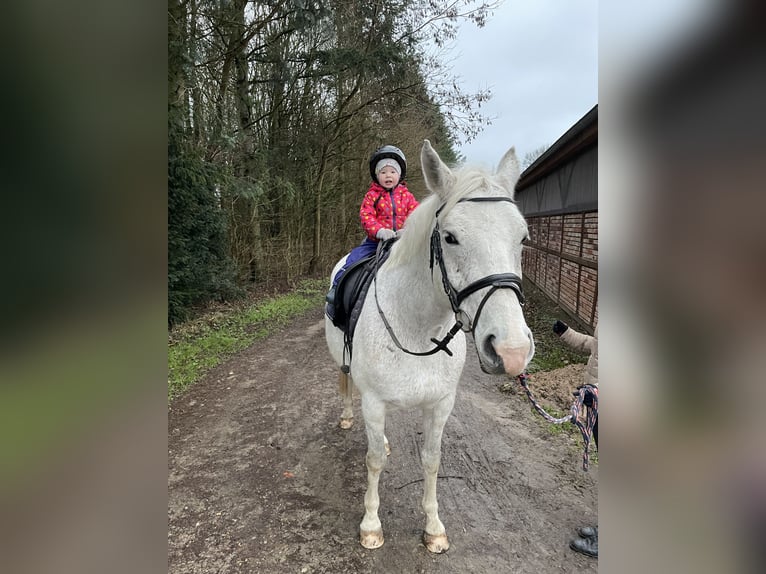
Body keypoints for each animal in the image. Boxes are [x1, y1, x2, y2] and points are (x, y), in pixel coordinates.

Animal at [324, 138, 536, 552]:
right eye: (450, 237)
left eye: (522, 237)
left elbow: (432, 460)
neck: (417, 327)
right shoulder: (374, 402)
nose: (512, 352)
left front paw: (434, 527)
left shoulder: (440, 405)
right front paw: (371, 525)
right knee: (347, 386)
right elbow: (374, 461)